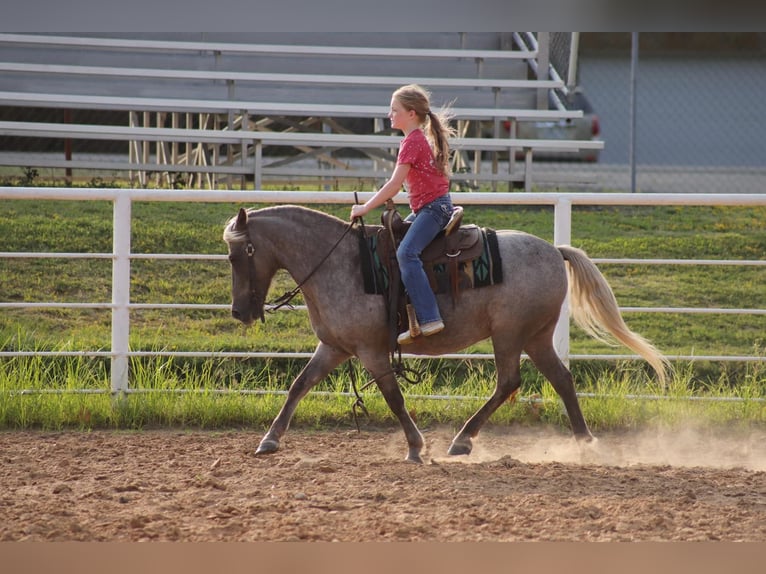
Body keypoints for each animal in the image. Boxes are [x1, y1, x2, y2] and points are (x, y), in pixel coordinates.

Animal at [223, 204, 668, 463]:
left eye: (237, 254)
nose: (239, 312)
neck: (339, 263)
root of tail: (555, 251)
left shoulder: (370, 351)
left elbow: (393, 397)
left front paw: (416, 447)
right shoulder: (334, 346)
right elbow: (299, 385)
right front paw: (269, 440)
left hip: (510, 334)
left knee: (509, 381)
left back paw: (463, 440)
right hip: (536, 337)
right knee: (561, 379)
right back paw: (584, 442)